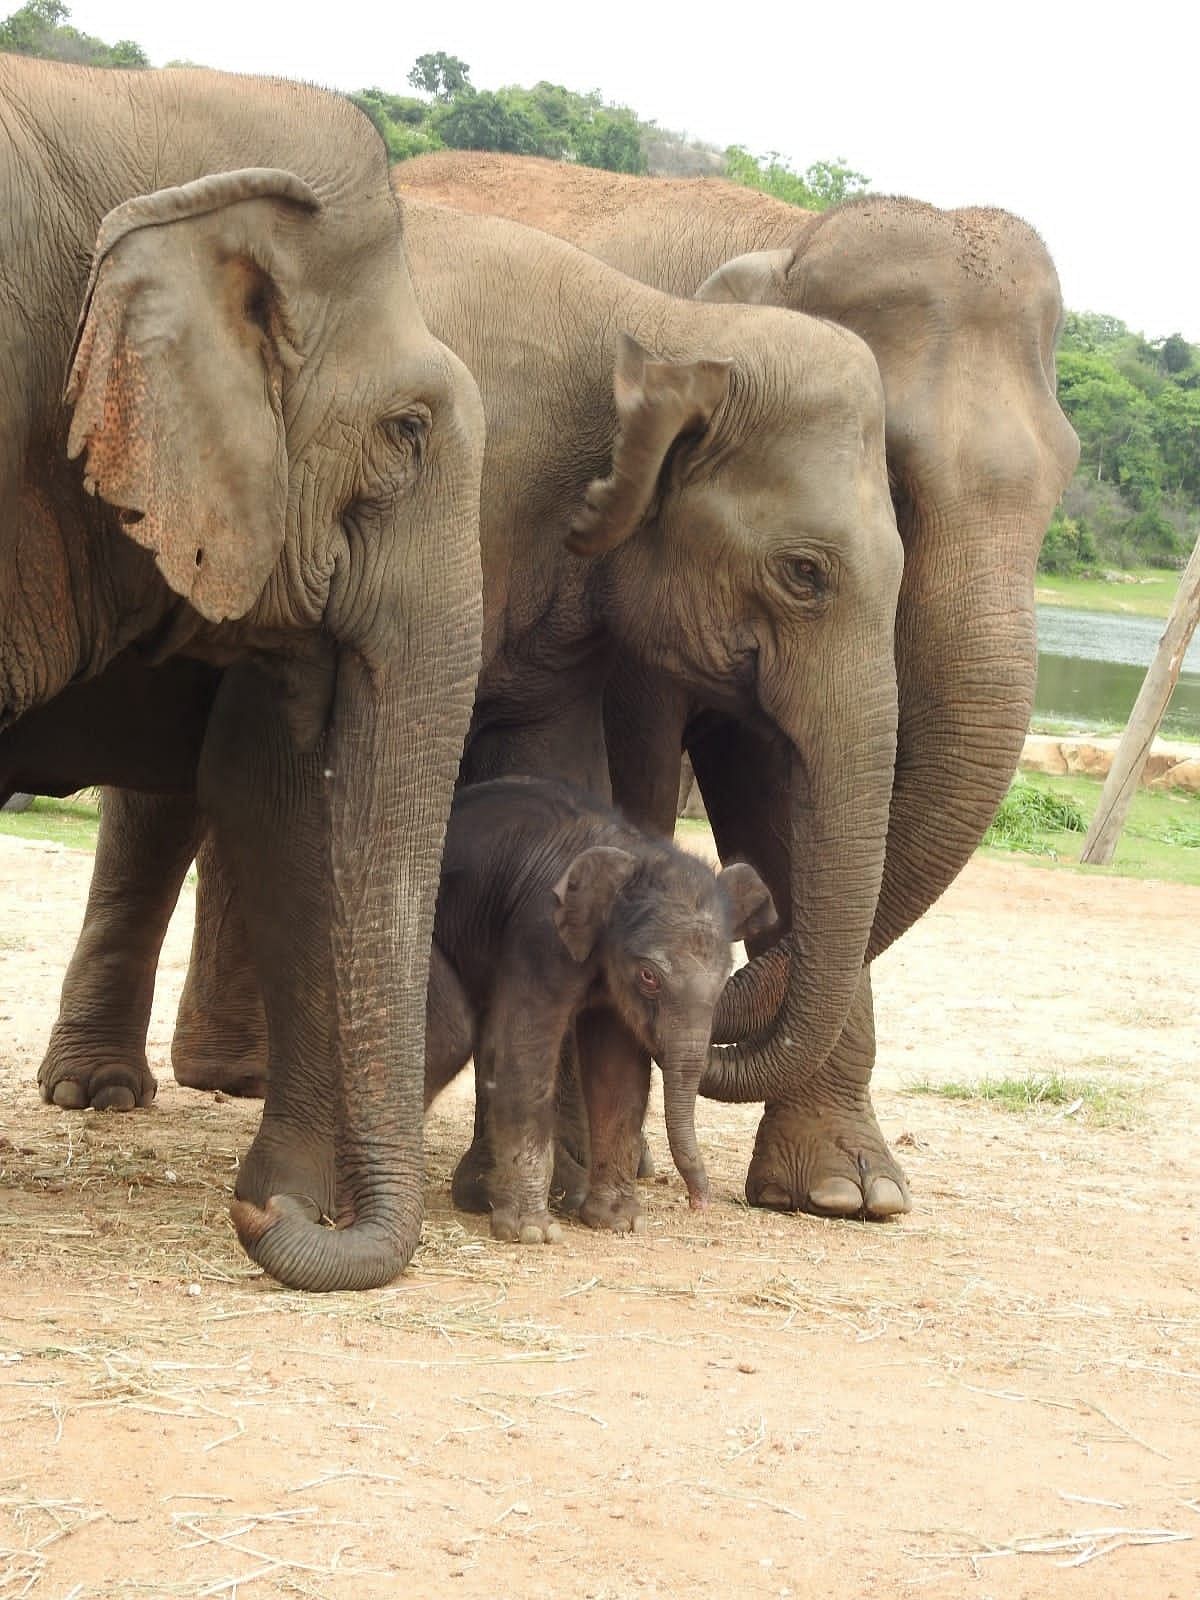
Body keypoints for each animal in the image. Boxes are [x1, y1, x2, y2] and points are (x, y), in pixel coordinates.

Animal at [428, 780, 774, 1241]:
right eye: (648, 976)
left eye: (724, 980)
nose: (700, 1203)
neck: (635, 851)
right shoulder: (539, 933)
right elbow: (525, 1045)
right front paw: (533, 1234)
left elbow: (617, 1067)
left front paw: (618, 1222)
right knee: (449, 1036)